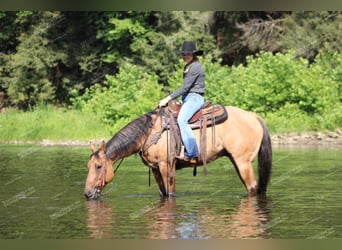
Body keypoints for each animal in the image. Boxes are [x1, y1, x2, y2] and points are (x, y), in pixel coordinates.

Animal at [85, 101, 272, 199]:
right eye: (88, 166)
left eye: (99, 166)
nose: (87, 193)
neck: (149, 132)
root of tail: (254, 117)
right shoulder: (155, 169)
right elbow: (163, 193)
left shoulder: (166, 165)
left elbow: (170, 193)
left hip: (243, 162)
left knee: (252, 187)